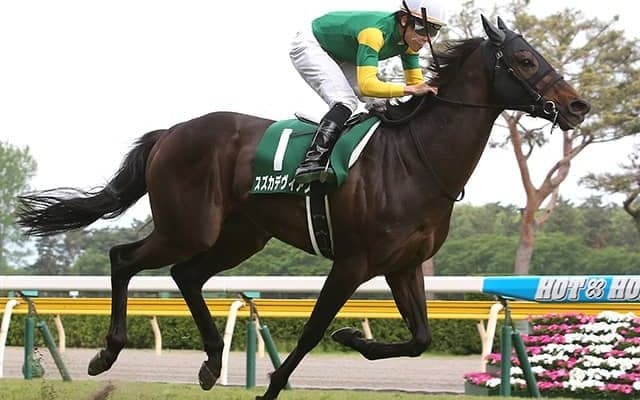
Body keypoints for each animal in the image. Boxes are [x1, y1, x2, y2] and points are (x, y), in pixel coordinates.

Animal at [17, 16, 589, 399]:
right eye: (524, 60)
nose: (578, 105)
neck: (414, 159)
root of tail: (171, 132)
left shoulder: (404, 265)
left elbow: (421, 338)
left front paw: (354, 338)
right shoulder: (353, 262)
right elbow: (313, 330)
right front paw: (279, 381)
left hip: (240, 235)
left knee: (186, 275)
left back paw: (210, 363)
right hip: (189, 226)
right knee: (125, 258)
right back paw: (108, 352)